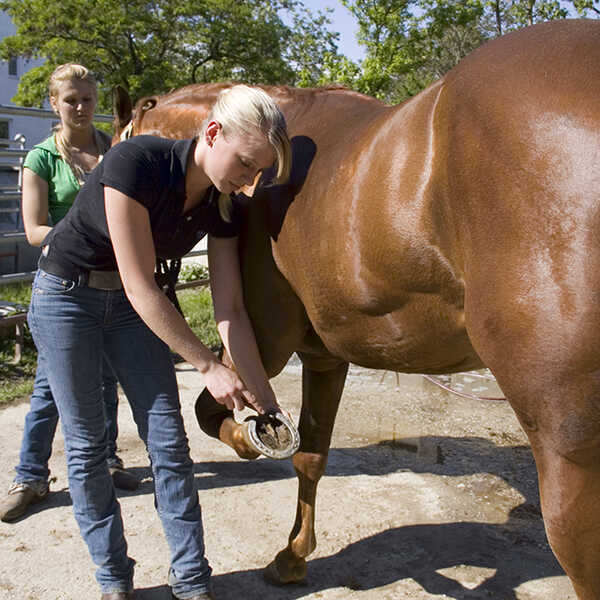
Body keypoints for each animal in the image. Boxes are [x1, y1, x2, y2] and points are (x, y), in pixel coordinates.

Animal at [112, 19, 600, 600]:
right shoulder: (325, 357)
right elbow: (310, 453)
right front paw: (292, 557)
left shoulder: (265, 343)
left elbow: (214, 414)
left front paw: (251, 439)